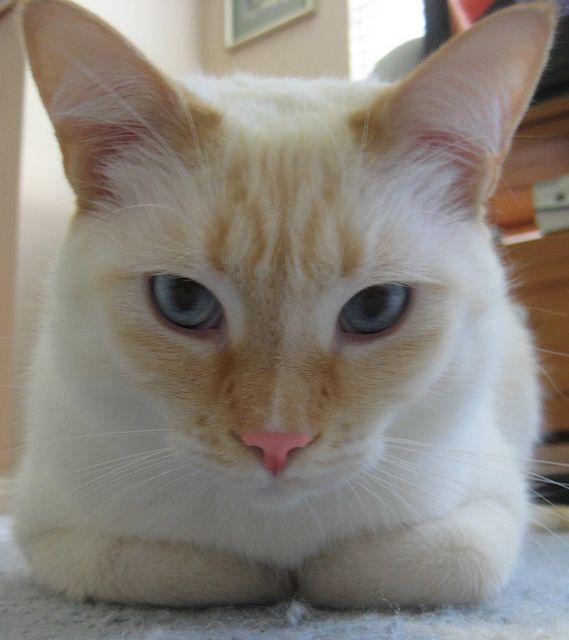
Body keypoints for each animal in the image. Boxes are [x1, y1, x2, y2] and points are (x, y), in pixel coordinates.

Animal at [12, 0, 556, 608]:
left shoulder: (494, 504)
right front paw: (271, 581)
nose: (275, 444)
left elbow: (425, 563)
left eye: (376, 308)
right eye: (182, 300)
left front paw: (305, 581)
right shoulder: (47, 527)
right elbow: (171, 569)